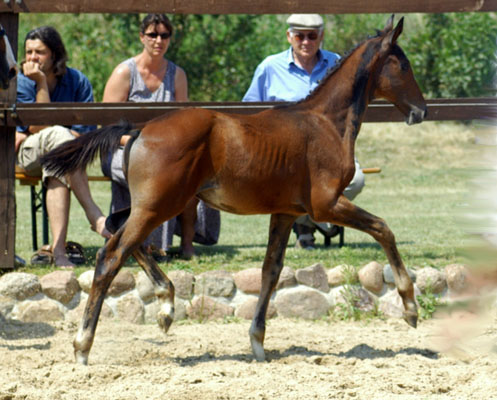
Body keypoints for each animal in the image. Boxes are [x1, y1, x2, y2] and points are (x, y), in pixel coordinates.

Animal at [41, 16, 426, 366]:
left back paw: (166, 305)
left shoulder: (285, 212)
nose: (421, 110)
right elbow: (383, 229)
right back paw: (83, 346)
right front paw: (410, 307)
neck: (327, 122)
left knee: (115, 229)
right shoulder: (326, 205)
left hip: (155, 204)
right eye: (404, 65)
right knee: (111, 254)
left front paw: (257, 343)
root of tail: (138, 129)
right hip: (159, 206)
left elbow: (271, 270)